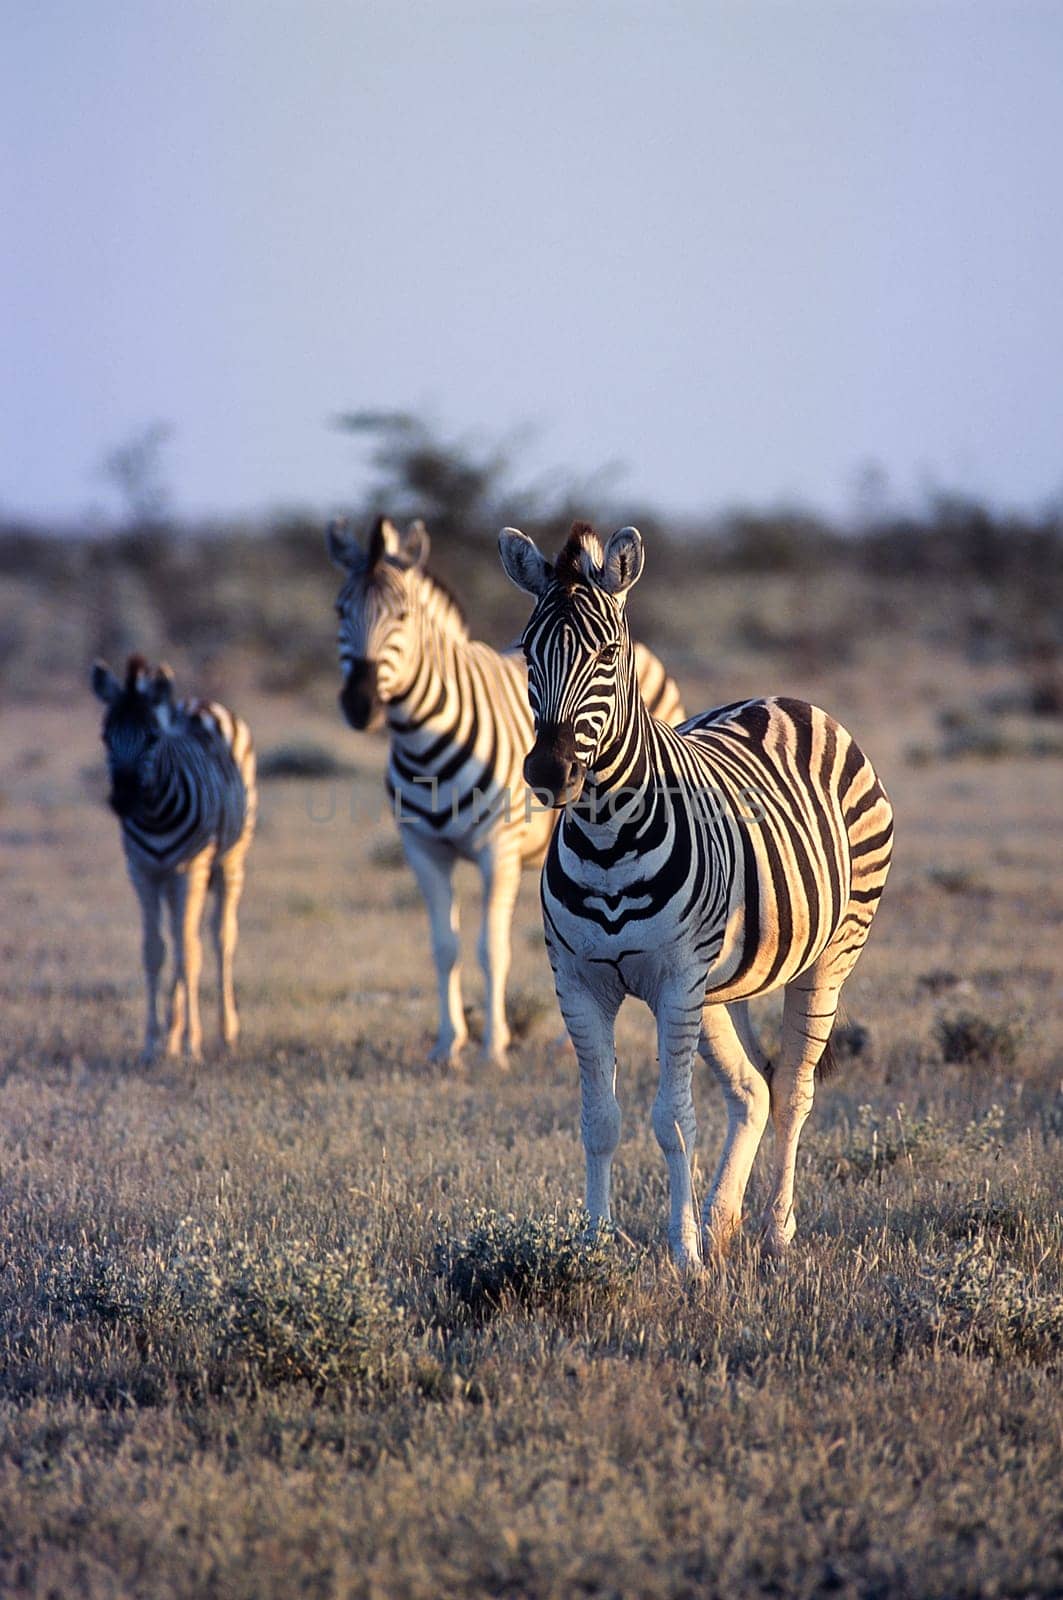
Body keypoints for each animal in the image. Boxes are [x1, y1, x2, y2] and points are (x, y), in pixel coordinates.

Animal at [90, 652, 256, 1062]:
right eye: (105, 736)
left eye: (152, 737)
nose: (122, 801)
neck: (155, 814)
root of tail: (197, 703)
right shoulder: (143, 871)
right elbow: (156, 951)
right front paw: (154, 1042)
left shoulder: (188, 869)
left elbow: (189, 954)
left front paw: (192, 1045)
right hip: (171, 877)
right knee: (184, 936)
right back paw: (172, 1031)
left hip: (229, 859)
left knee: (218, 937)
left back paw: (225, 1033)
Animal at [326, 515, 688, 1062]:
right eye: (339, 611)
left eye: (403, 616)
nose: (359, 704)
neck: (421, 737)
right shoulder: (422, 848)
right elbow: (445, 946)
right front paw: (447, 1045)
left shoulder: (496, 848)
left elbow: (490, 948)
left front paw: (492, 1047)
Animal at [496, 521, 890, 1260]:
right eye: (527, 652)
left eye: (609, 654)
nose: (549, 772)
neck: (605, 838)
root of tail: (786, 700)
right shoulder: (578, 982)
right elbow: (600, 1120)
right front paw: (594, 1249)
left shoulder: (675, 978)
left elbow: (673, 1121)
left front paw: (683, 1256)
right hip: (714, 988)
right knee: (752, 1091)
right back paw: (721, 1219)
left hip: (829, 955)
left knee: (793, 1091)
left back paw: (775, 1230)